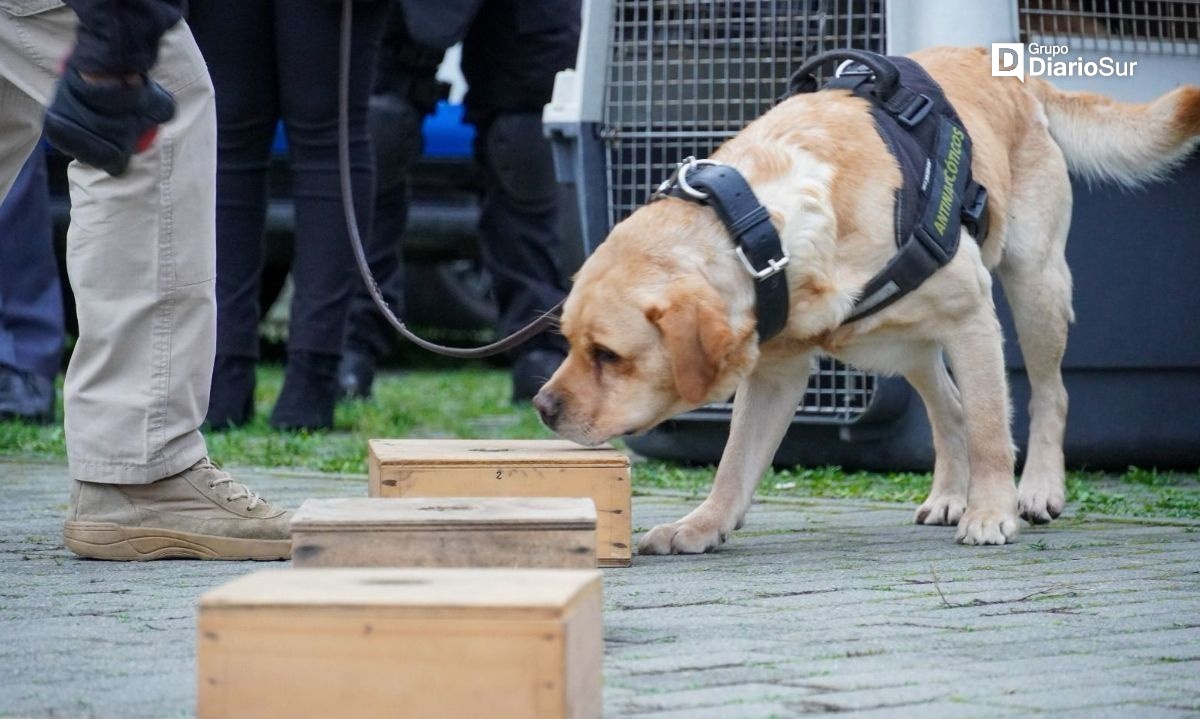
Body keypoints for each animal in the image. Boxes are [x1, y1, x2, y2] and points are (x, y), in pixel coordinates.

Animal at [535, 46, 1200, 552]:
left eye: (608, 355)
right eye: (568, 342)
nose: (542, 408)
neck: (765, 230)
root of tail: (1000, 62)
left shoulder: (972, 315)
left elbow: (991, 427)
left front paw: (993, 511)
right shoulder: (776, 370)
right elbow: (733, 462)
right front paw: (703, 525)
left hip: (1034, 284)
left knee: (1046, 394)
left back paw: (1035, 488)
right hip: (896, 347)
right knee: (948, 407)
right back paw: (948, 495)